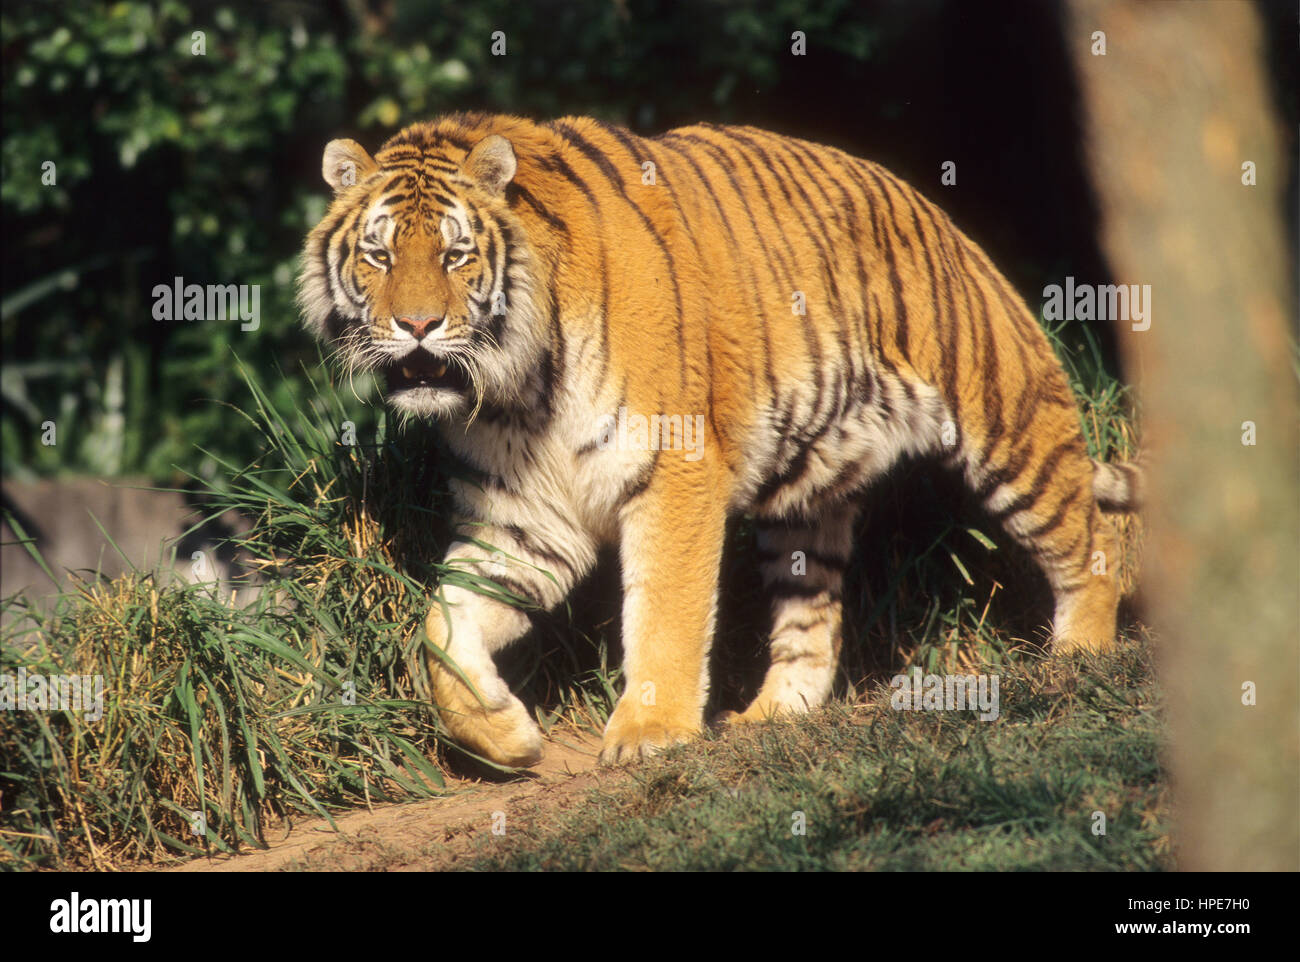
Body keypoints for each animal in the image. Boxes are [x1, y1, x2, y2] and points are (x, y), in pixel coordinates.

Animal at [295, 111, 1138, 764]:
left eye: (455, 254)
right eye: (378, 255)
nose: (417, 325)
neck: (516, 386)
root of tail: (923, 203)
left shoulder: (673, 474)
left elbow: (664, 614)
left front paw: (650, 733)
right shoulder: (522, 520)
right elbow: (441, 628)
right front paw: (504, 738)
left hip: (1006, 418)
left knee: (1090, 536)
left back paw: (1080, 653)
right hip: (804, 490)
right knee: (811, 619)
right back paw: (773, 716)